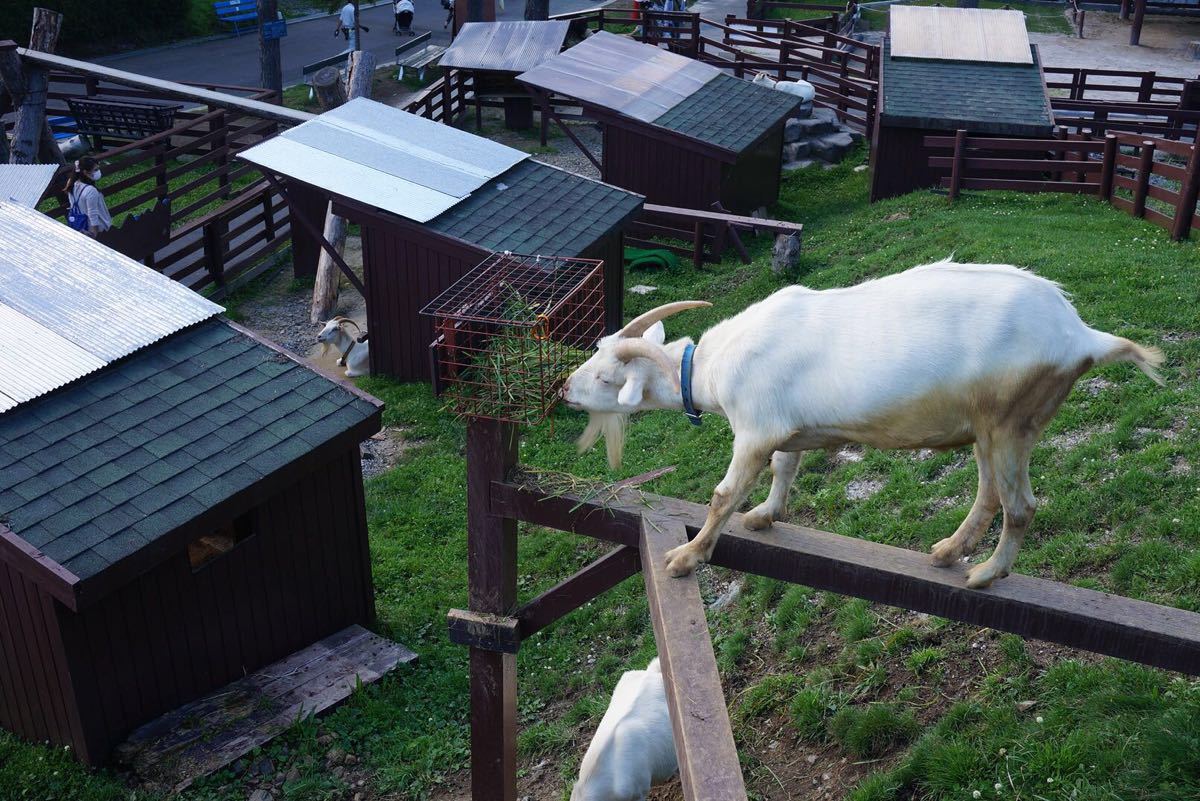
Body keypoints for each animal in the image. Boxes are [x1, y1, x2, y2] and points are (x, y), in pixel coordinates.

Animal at [566, 261, 1166, 587]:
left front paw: (687, 557)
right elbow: (786, 467)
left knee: (1021, 506)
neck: (711, 365)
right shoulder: (786, 430)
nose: (564, 389)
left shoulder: (754, 429)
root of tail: (1079, 334)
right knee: (991, 494)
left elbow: (723, 495)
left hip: (1010, 420)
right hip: (990, 429)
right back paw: (949, 551)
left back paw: (985, 574)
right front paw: (766, 516)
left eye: (605, 376)